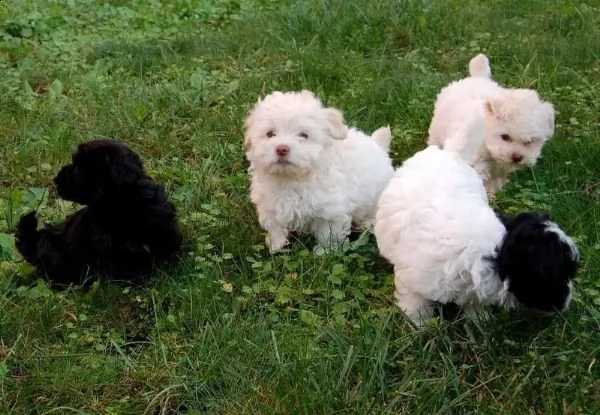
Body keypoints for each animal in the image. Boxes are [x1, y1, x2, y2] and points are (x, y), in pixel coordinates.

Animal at [244, 90, 394, 254]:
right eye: (270, 133)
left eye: (303, 135)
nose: (282, 149)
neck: (291, 178)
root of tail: (378, 146)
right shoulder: (269, 203)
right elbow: (275, 225)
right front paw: (276, 244)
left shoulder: (330, 210)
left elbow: (327, 233)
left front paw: (324, 252)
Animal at [378, 117, 580, 328]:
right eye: (562, 275)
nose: (567, 301)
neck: (498, 250)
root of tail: (449, 152)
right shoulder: (415, 281)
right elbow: (416, 304)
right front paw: (421, 326)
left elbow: (474, 306)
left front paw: (480, 322)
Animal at [428, 53, 556, 195]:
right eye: (505, 137)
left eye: (530, 142)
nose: (517, 157)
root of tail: (478, 78)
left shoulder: (498, 172)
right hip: (437, 127)